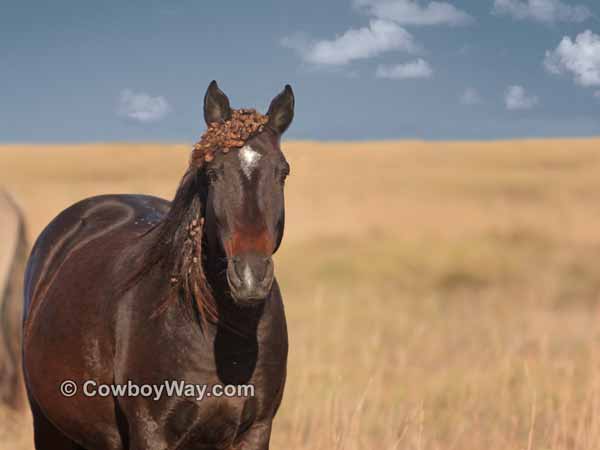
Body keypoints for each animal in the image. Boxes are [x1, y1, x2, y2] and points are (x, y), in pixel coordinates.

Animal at [22, 81, 294, 450]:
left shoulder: (256, 430)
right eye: (212, 172)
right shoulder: (151, 430)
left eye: (282, 173)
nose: (250, 277)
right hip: (49, 426)